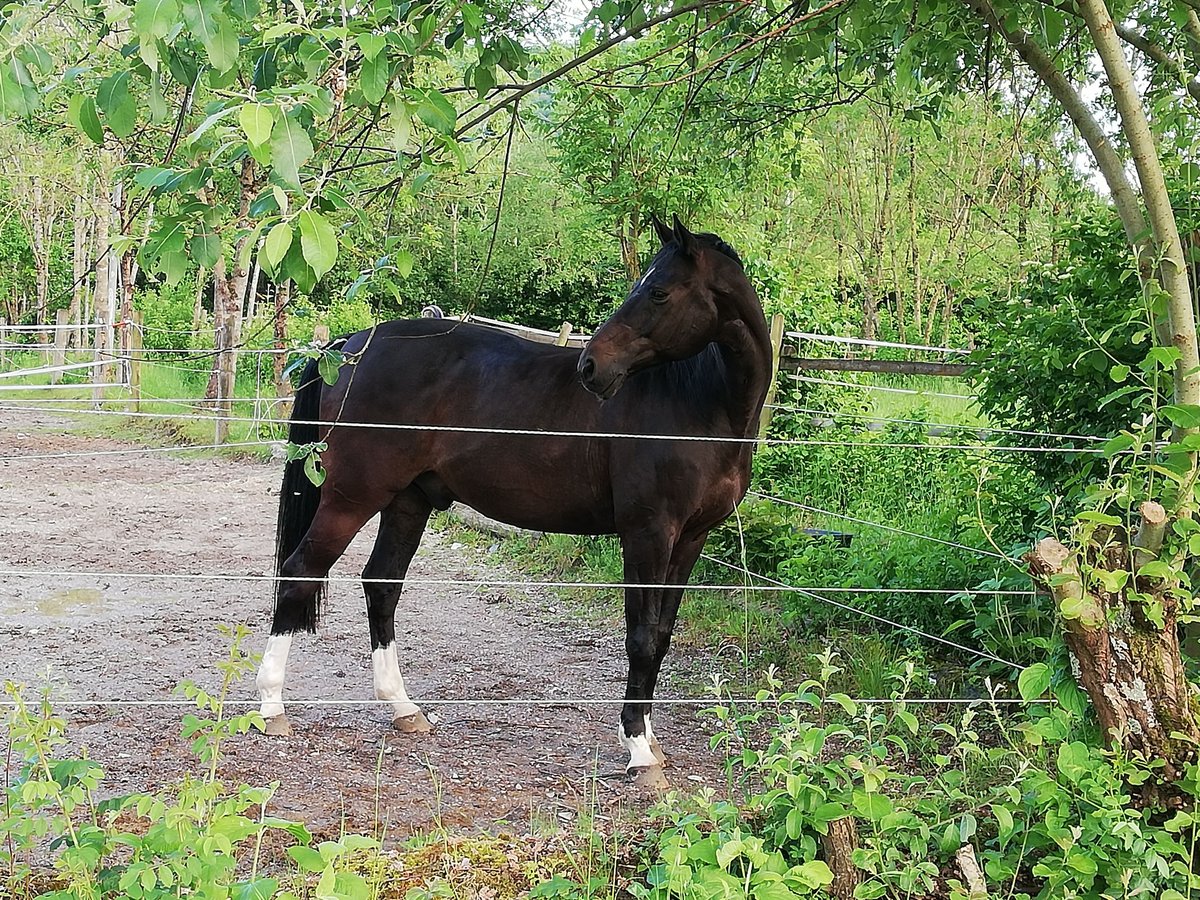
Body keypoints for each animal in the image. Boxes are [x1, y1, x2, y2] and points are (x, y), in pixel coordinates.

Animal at [258, 218, 772, 787]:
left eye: (659, 291)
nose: (592, 367)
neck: (702, 406)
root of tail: (348, 347)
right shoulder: (648, 533)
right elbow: (640, 636)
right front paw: (639, 750)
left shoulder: (690, 539)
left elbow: (660, 635)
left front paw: (647, 738)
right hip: (352, 497)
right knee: (300, 571)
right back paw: (271, 707)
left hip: (408, 502)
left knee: (382, 584)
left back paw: (404, 708)